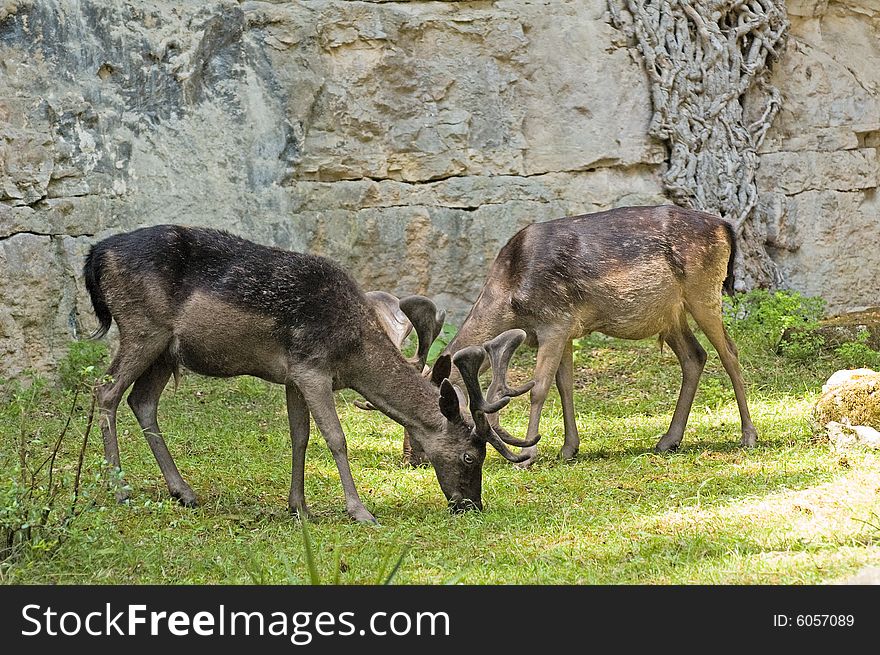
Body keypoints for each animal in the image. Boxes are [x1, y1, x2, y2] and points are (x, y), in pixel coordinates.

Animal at [82, 224, 532, 524]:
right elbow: (335, 438)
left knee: (142, 400)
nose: (471, 505)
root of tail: (97, 254)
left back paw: (184, 492)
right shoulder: (313, 367)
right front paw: (360, 511)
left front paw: (298, 506)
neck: (353, 353)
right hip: (142, 327)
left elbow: (300, 436)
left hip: (166, 350)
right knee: (106, 391)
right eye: (471, 455)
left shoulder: (293, 375)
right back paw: (118, 489)